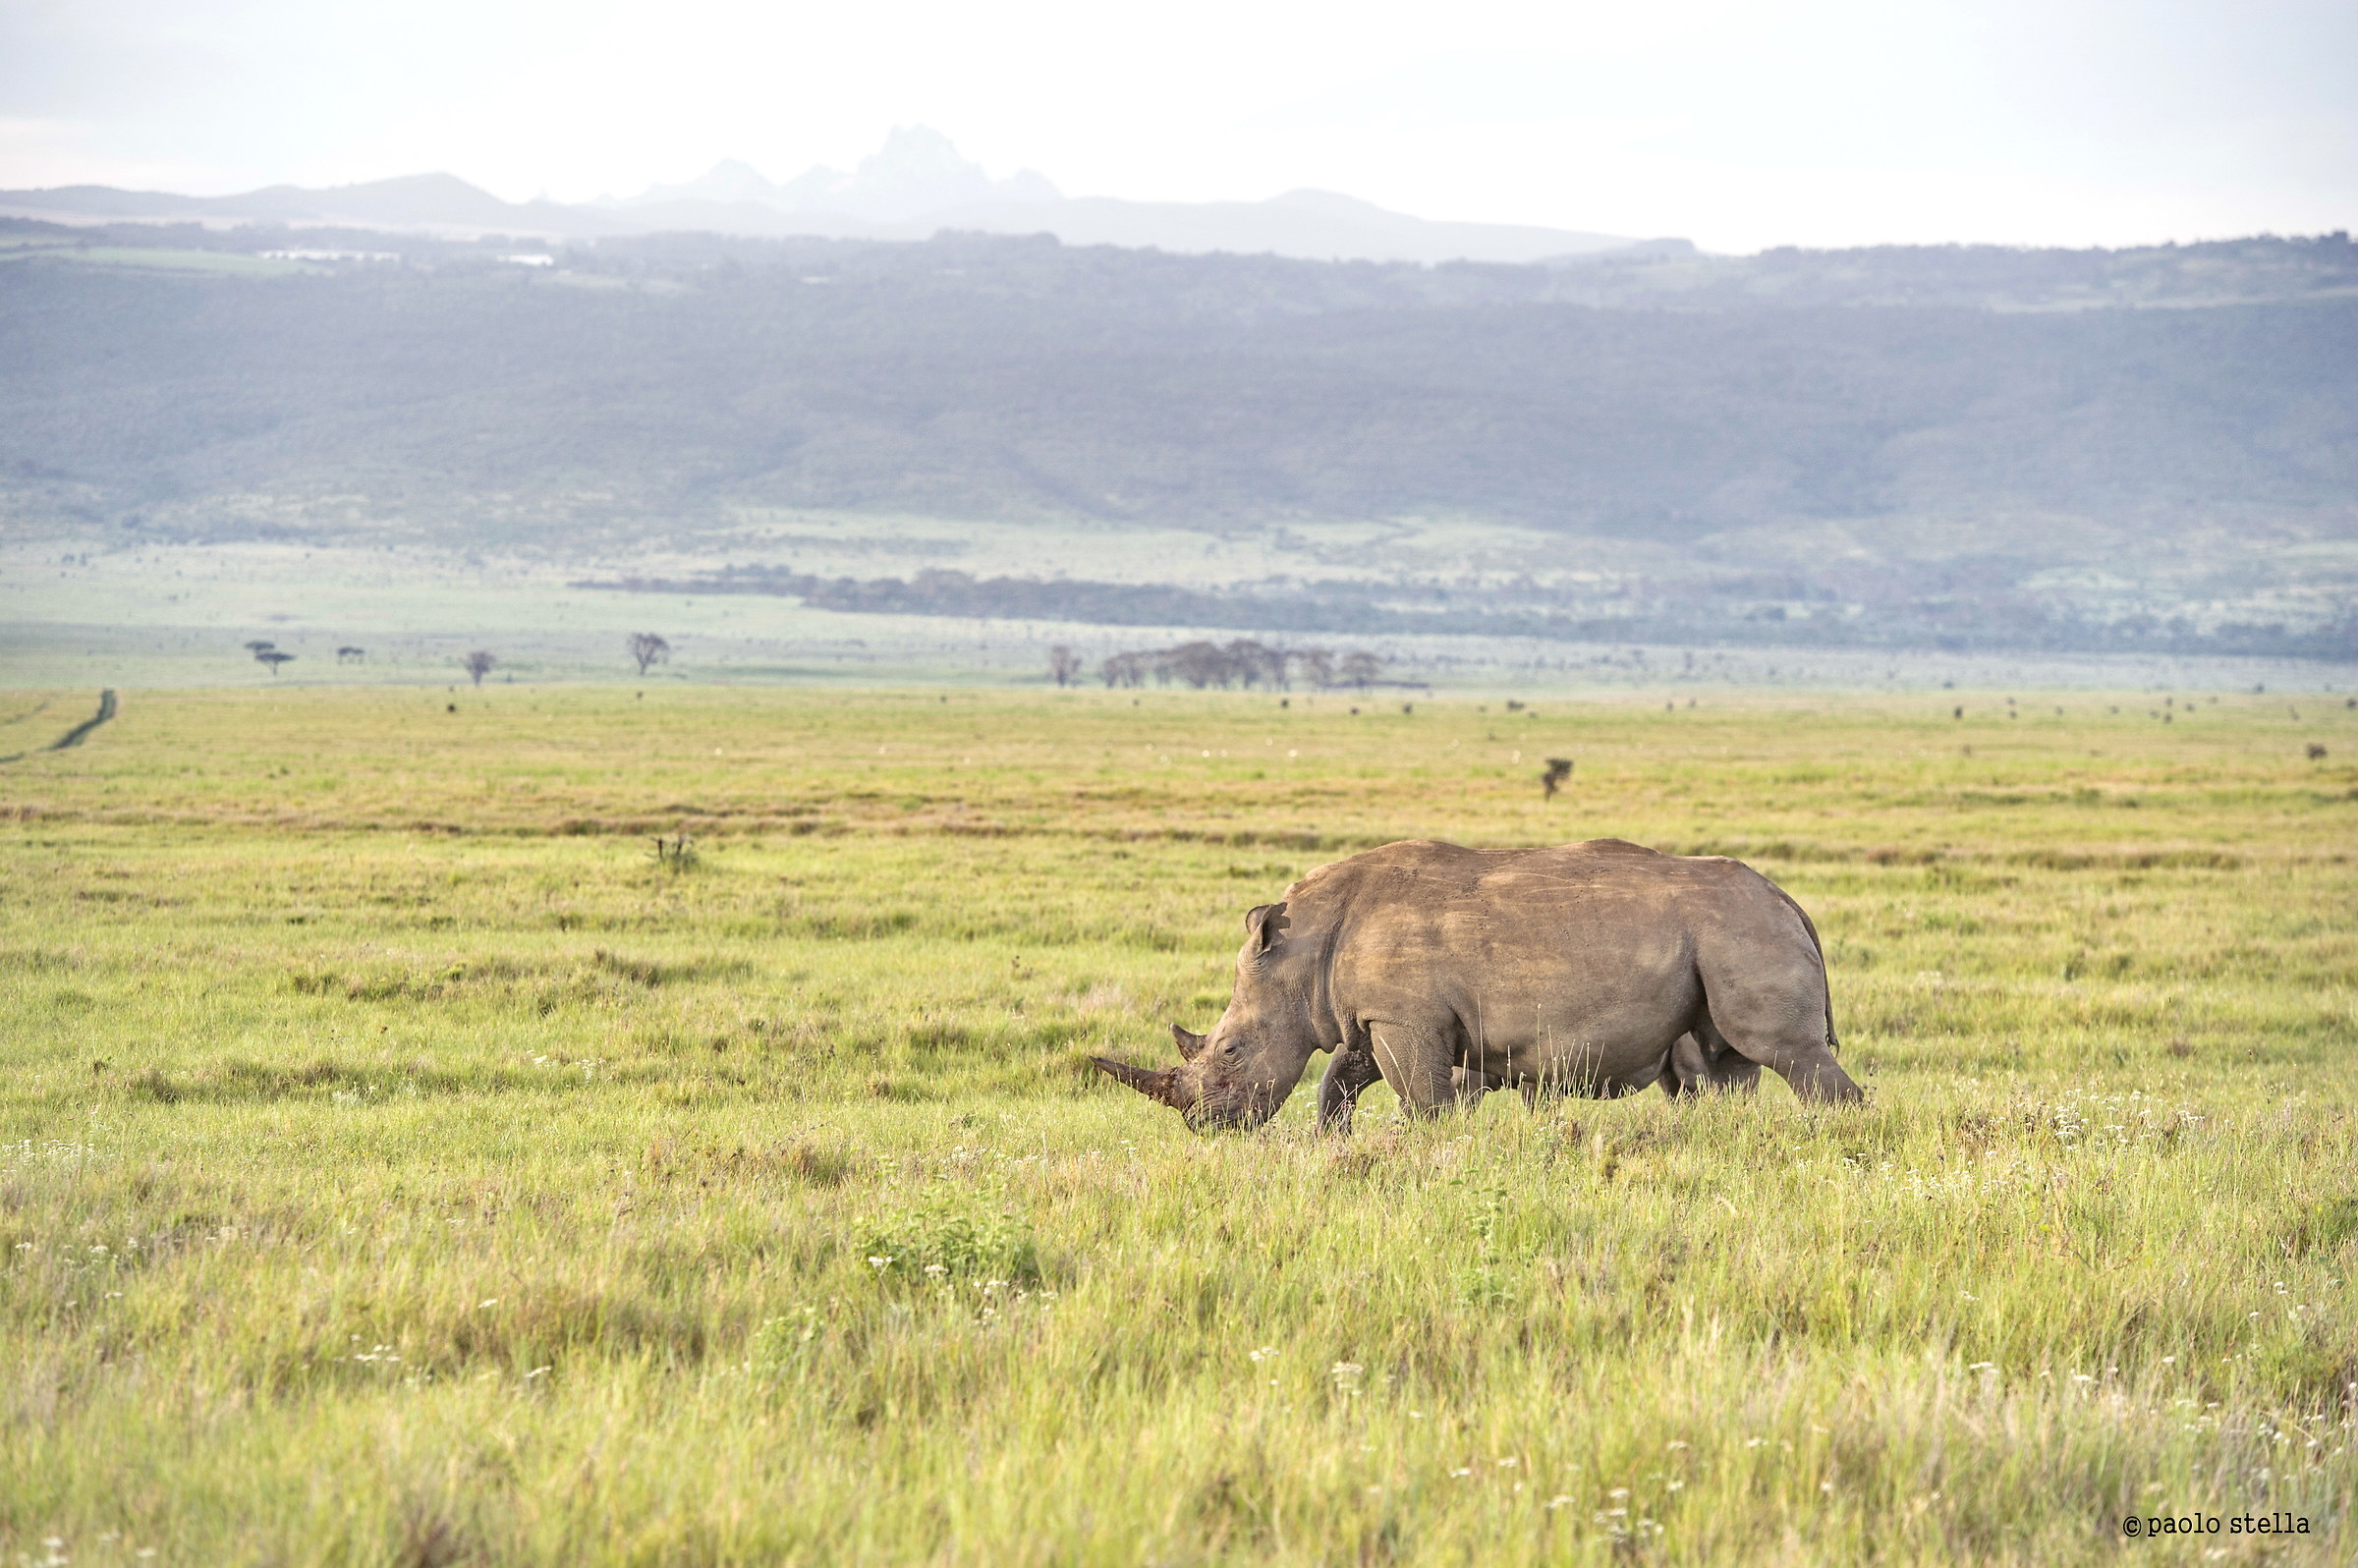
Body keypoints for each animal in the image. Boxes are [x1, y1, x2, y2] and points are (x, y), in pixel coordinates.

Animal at [1093, 838, 1861, 1132]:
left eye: (1231, 1052)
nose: (1203, 1127)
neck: (1302, 950)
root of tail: (1788, 899)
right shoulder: (1373, 1017)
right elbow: (1336, 1082)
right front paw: (1330, 1144)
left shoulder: (1402, 1018)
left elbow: (1420, 1098)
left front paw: (1423, 1149)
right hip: (1727, 933)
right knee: (1730, 1065)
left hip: (1741, 930)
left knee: (1787, 1052)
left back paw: (1839, 1135)